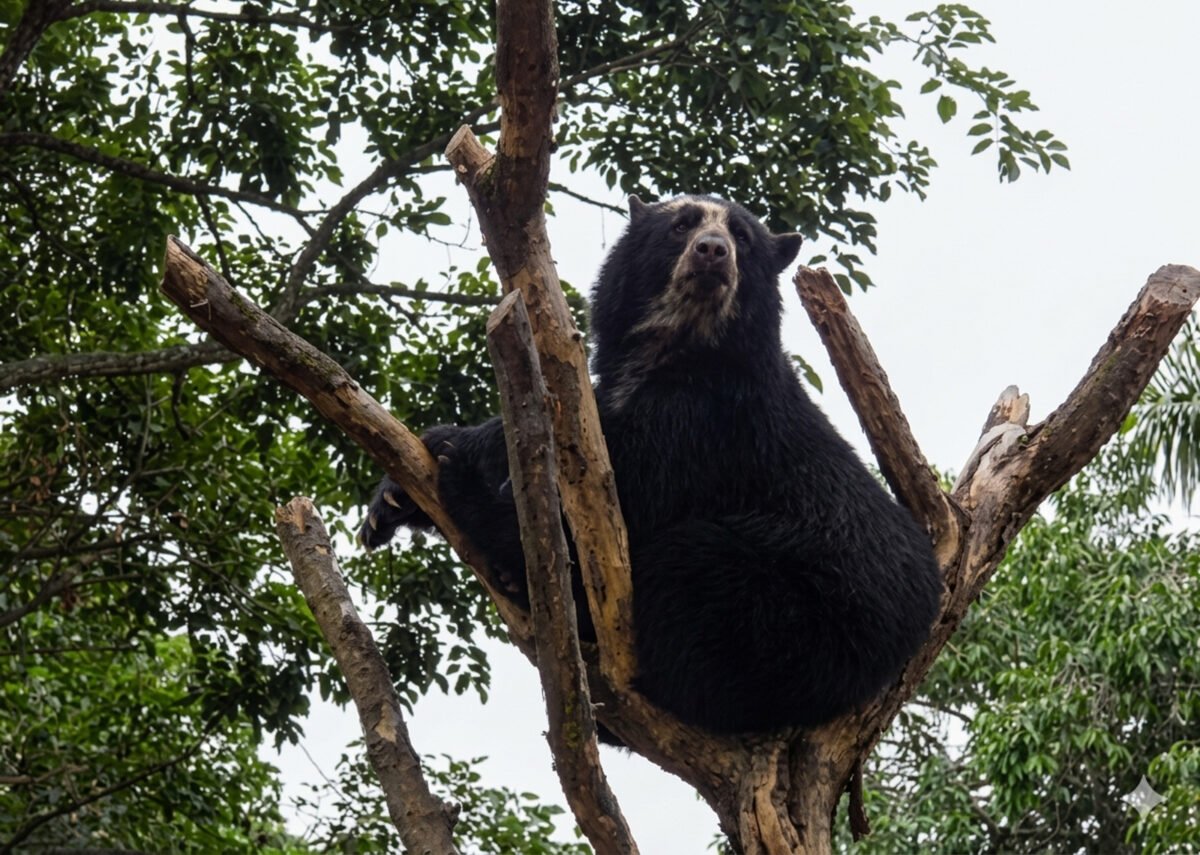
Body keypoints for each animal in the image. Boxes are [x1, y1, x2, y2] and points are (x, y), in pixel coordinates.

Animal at [361, 194, 942, 735]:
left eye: (743, 239)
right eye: (681, 225)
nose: (713, 252)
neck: (677, 344)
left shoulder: (702, 424)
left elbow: (619, 499)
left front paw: (455, 470)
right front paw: (392, 501)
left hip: (792, 623)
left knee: (690, 576)